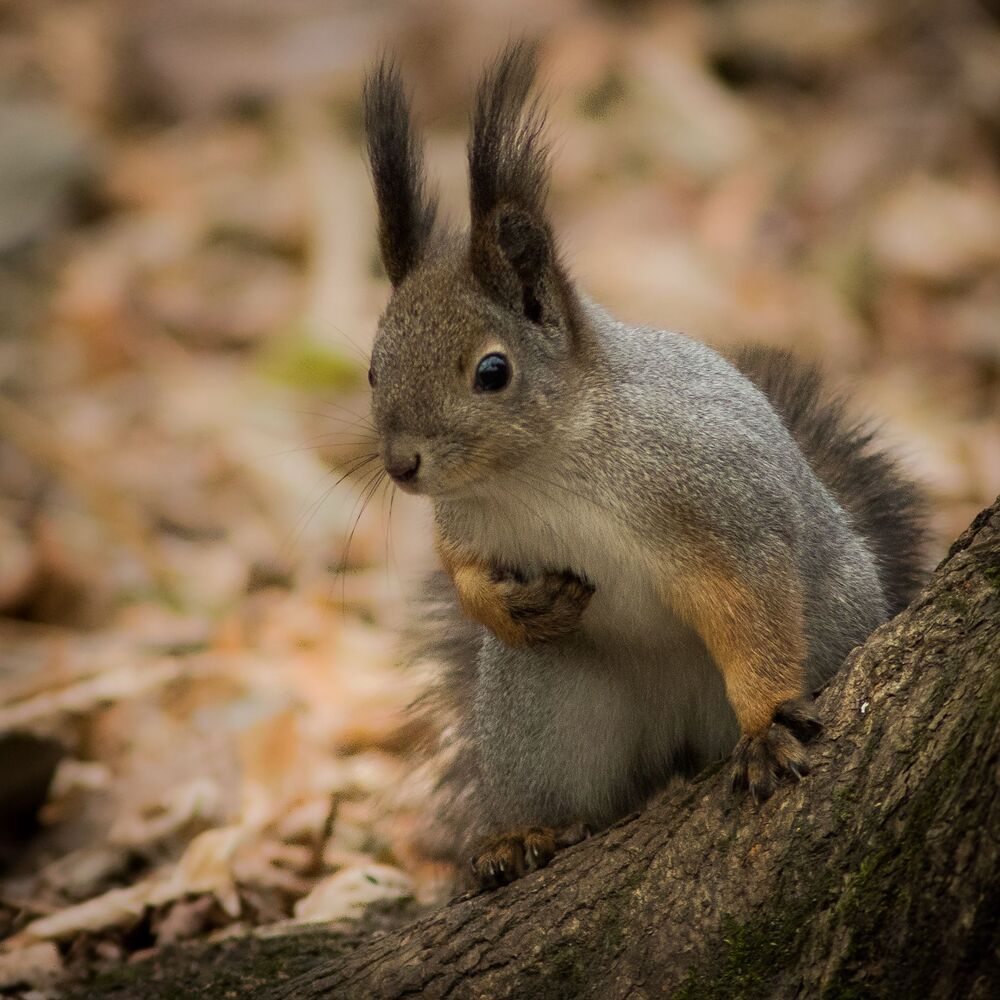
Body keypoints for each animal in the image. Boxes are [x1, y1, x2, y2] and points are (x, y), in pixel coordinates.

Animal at [361, 44, 927, 890]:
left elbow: (753, 595)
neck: (538, 470)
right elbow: (460, 565)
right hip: (544, 705)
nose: (402, 465)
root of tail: (678, 743)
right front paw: (506, 605)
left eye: (493, 372)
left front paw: (766, 723)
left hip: (832, 627)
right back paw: (525, 834)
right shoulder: (465, 519)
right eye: (372, 369)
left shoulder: (714, 496)